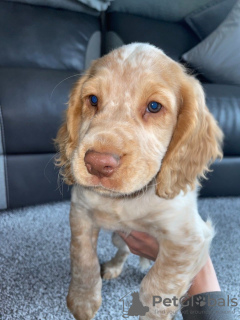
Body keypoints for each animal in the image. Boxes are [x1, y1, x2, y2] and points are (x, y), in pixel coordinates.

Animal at [54, 43, 223, 320]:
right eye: (93, 100)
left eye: (154, 106)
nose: (97, 163)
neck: (126, 200)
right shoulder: (80, 211)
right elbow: (83, 258)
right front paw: (83, 301)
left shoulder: (190, 239)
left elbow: (160, 284)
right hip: (117, 237)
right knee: (122, 251)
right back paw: (113, 266)